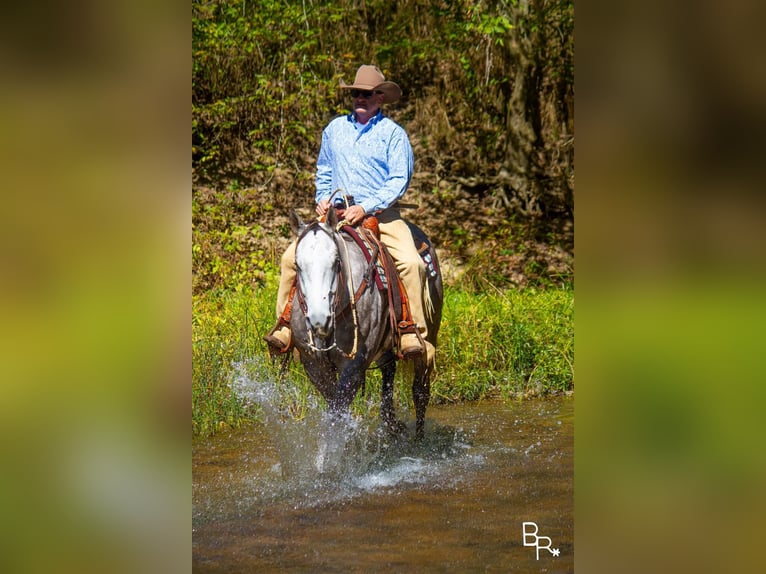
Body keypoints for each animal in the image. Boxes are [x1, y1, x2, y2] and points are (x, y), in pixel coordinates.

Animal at [288, 209, 444, 438]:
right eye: (297, 265)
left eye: (336, 262)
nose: (319, 320)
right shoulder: (314, 366)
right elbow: (332, 406)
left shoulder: (354, 366)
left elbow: (338, 413)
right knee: (389, 370)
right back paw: (391, 424)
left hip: (429, 332)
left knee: (420, 390)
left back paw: (419, 439)